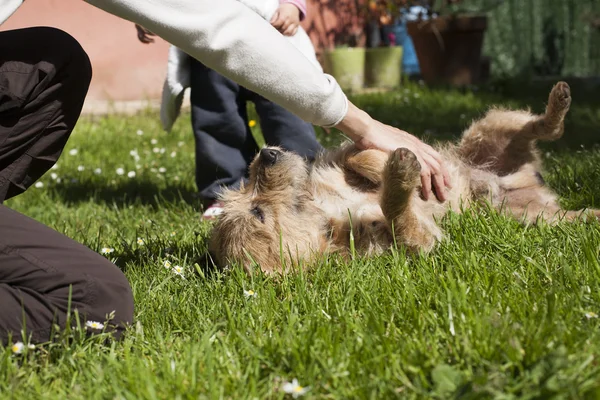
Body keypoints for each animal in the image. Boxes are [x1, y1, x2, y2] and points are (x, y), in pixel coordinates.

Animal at [210, 82, 600, 274]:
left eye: (246, 187)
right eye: (258, 212)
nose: (266, 154)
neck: (325, 212)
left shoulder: (343, 159)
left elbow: (361, 156)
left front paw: (388, 166)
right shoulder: (418, 242)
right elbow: (398, 214)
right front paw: (399, 178)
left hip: (491, 128)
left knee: (540, 127)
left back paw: (558, 101)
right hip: (533, 217)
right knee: (570, 213)